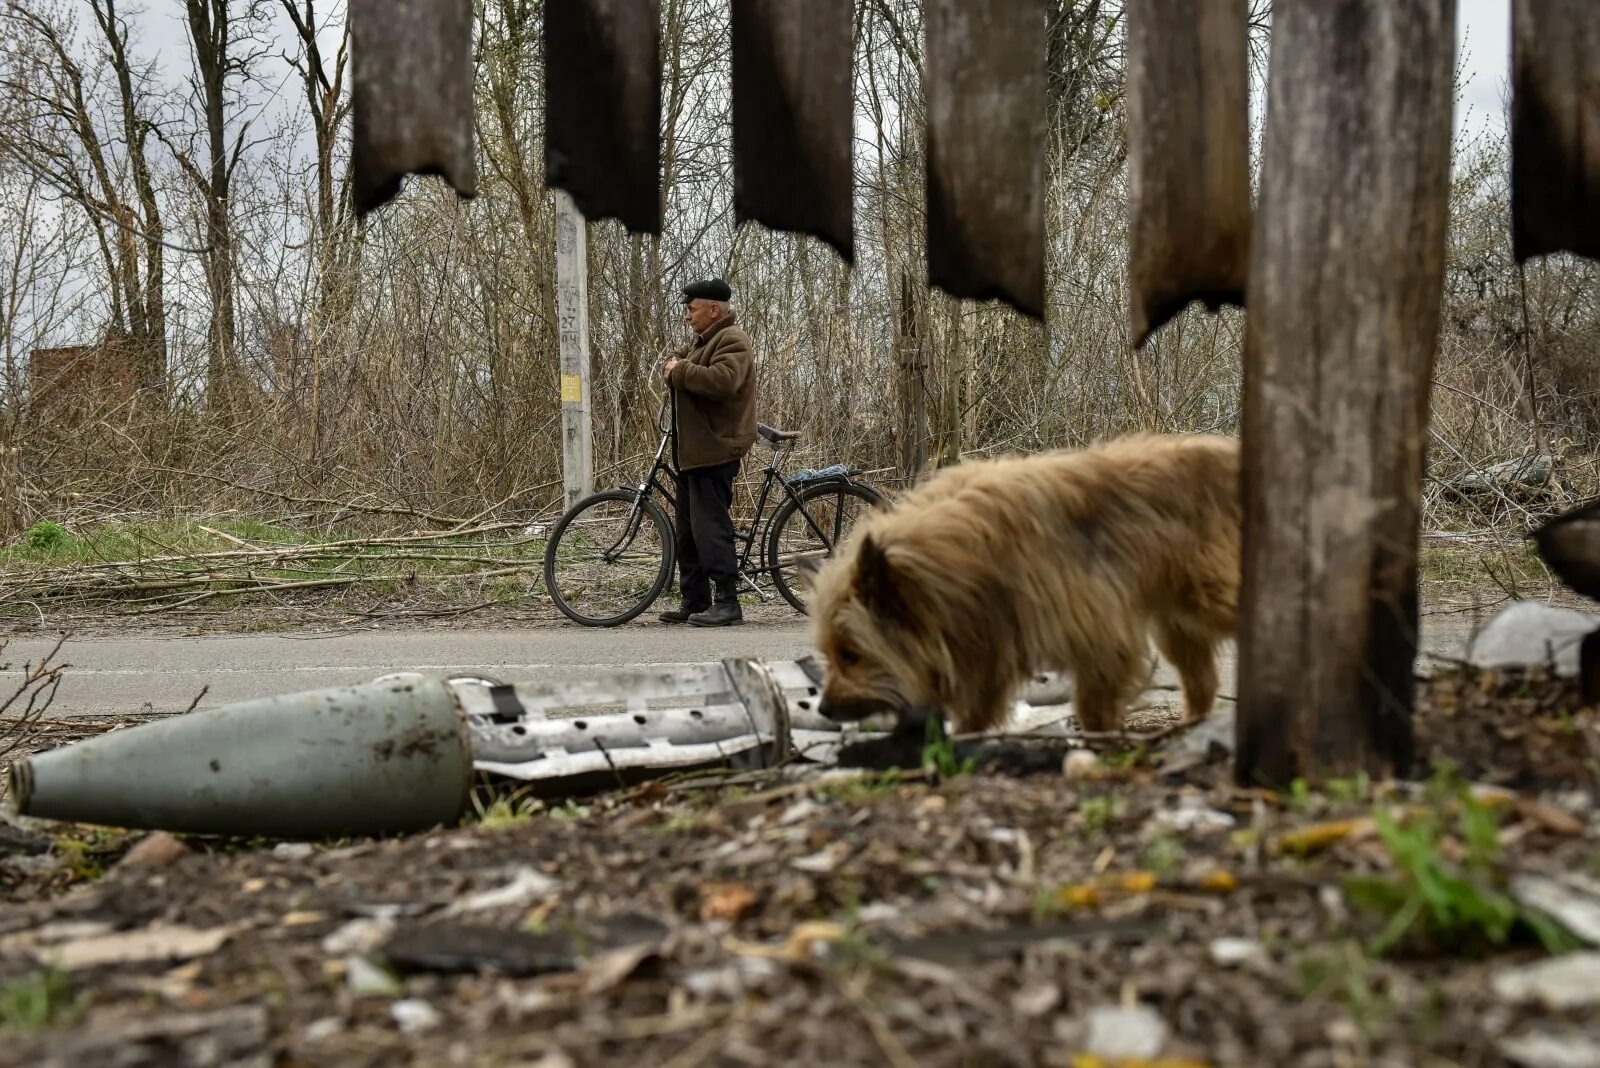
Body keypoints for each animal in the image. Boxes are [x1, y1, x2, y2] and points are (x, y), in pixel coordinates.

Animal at [806, 434, 1241, 735]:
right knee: (1202, 679)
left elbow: (1095, 704)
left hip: (1209, 594)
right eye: (830, 655)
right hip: (1177, 621)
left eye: (851, 656)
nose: (824, 709)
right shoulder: (987, 639)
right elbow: (977, 705)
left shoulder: (1098, 635)